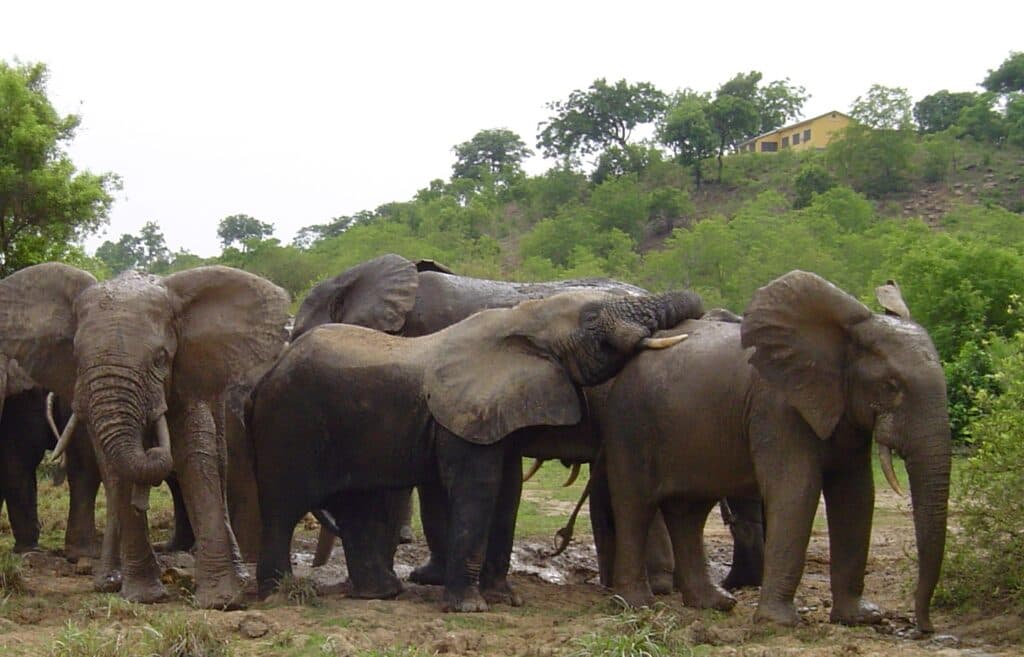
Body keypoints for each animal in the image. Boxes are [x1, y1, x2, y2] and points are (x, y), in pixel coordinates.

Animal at [602, 271, 950, 634]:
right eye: (891, 386)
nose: (924, 627)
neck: (839, 339)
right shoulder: (776, 408)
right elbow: (796, 490)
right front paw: (779, 623)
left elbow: (856, 495)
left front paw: (861, 618)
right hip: (629, 422)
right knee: (635, 506)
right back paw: (637, 605)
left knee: (689, 513)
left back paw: (715, 604)